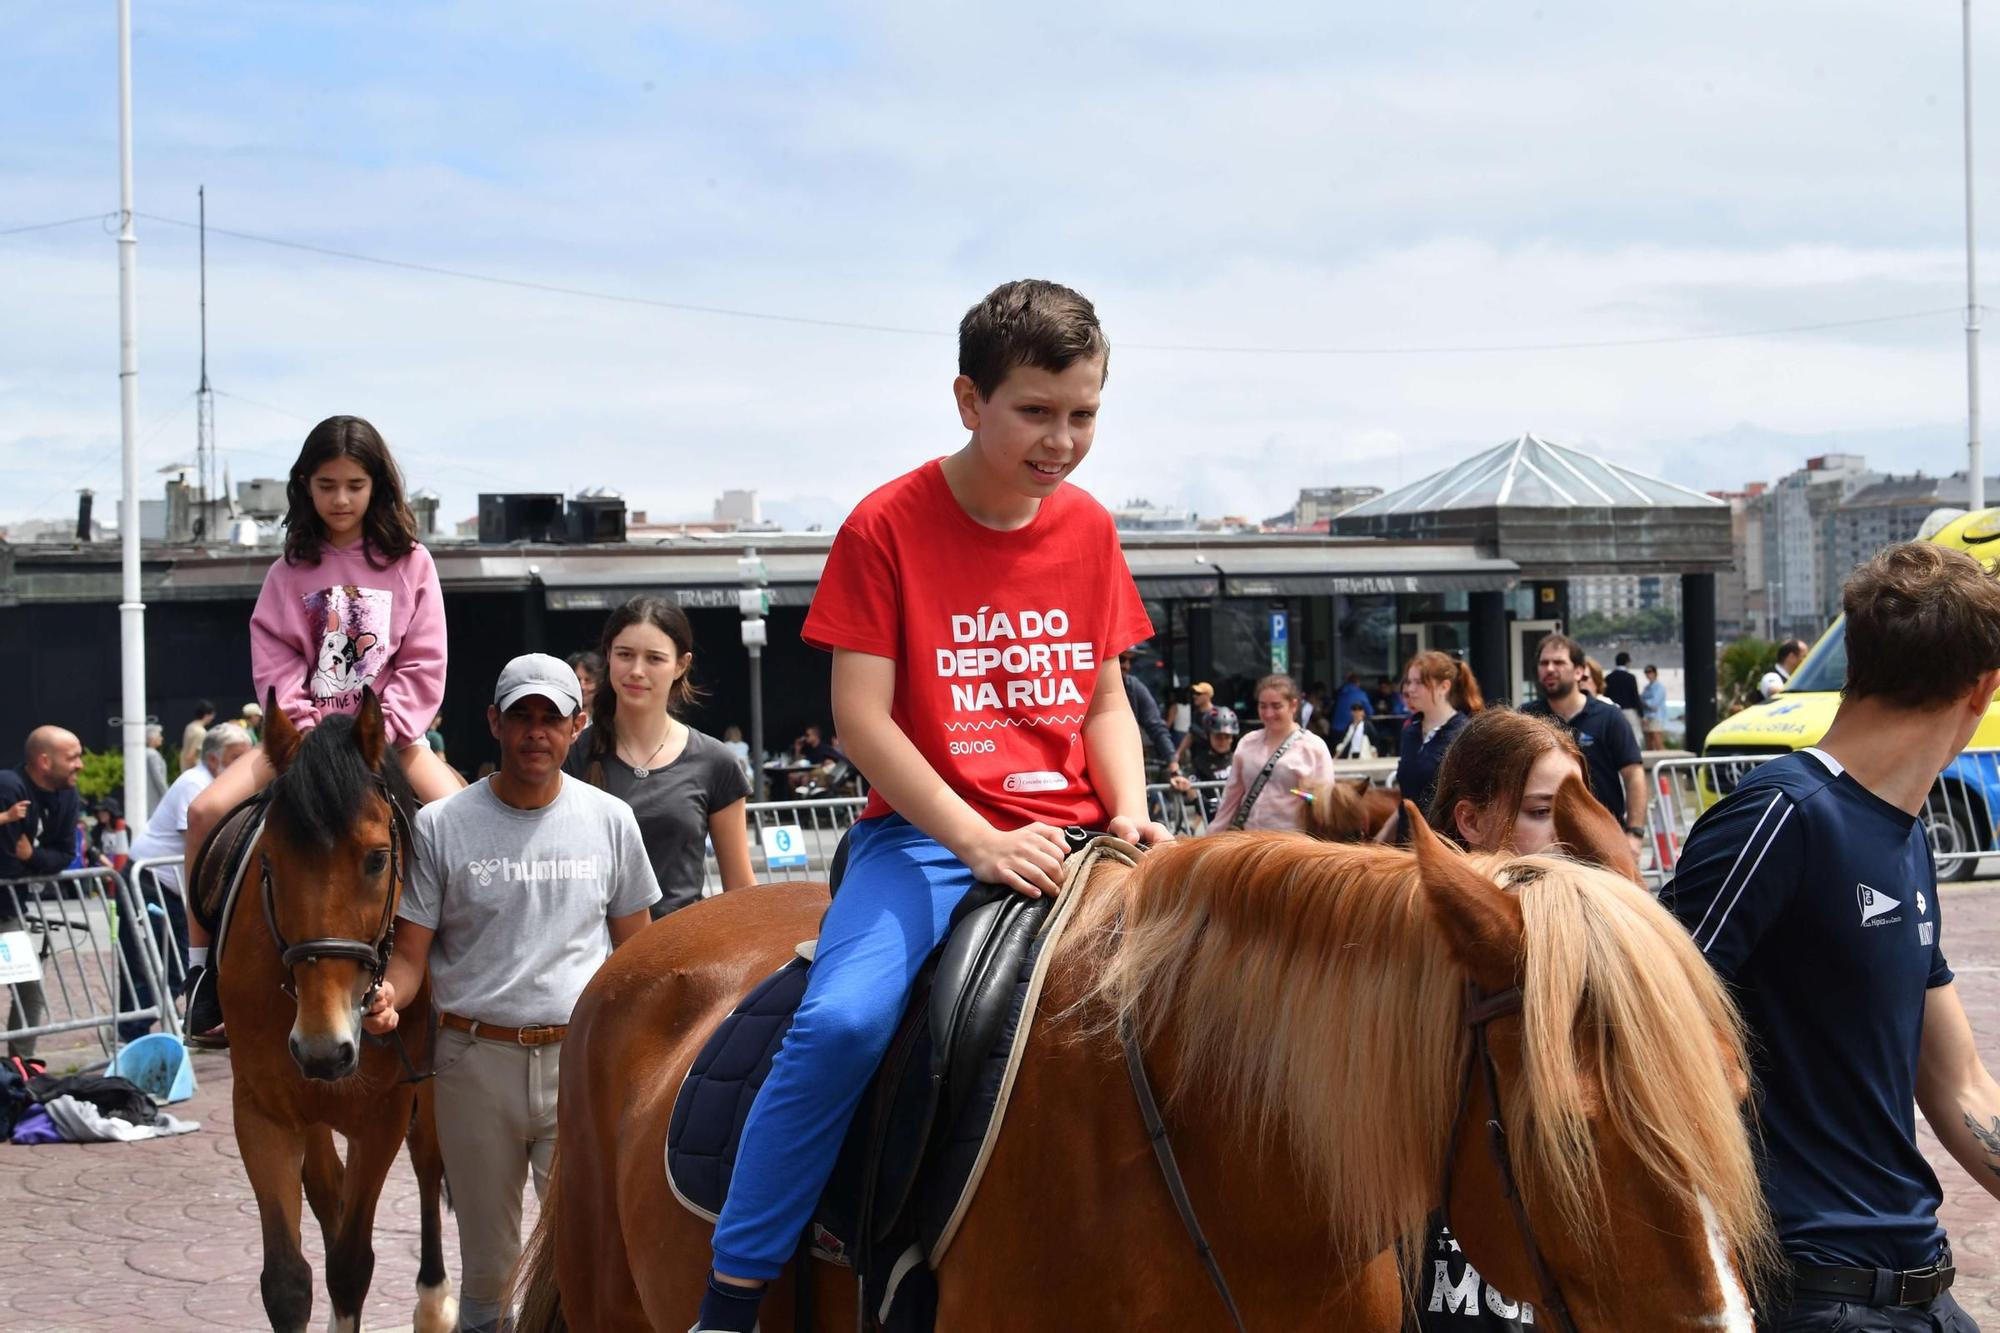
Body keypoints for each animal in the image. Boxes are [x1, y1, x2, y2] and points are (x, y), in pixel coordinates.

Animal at [198, 688, 454, 1328]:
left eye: (377, 859)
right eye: (269, 862)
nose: (322, 1047)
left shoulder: (384, 1113)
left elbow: (350, 1265)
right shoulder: (263, 1110)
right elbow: (288, 1280)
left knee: (429, 1163)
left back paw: (435, 1302)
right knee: (325, 1187)